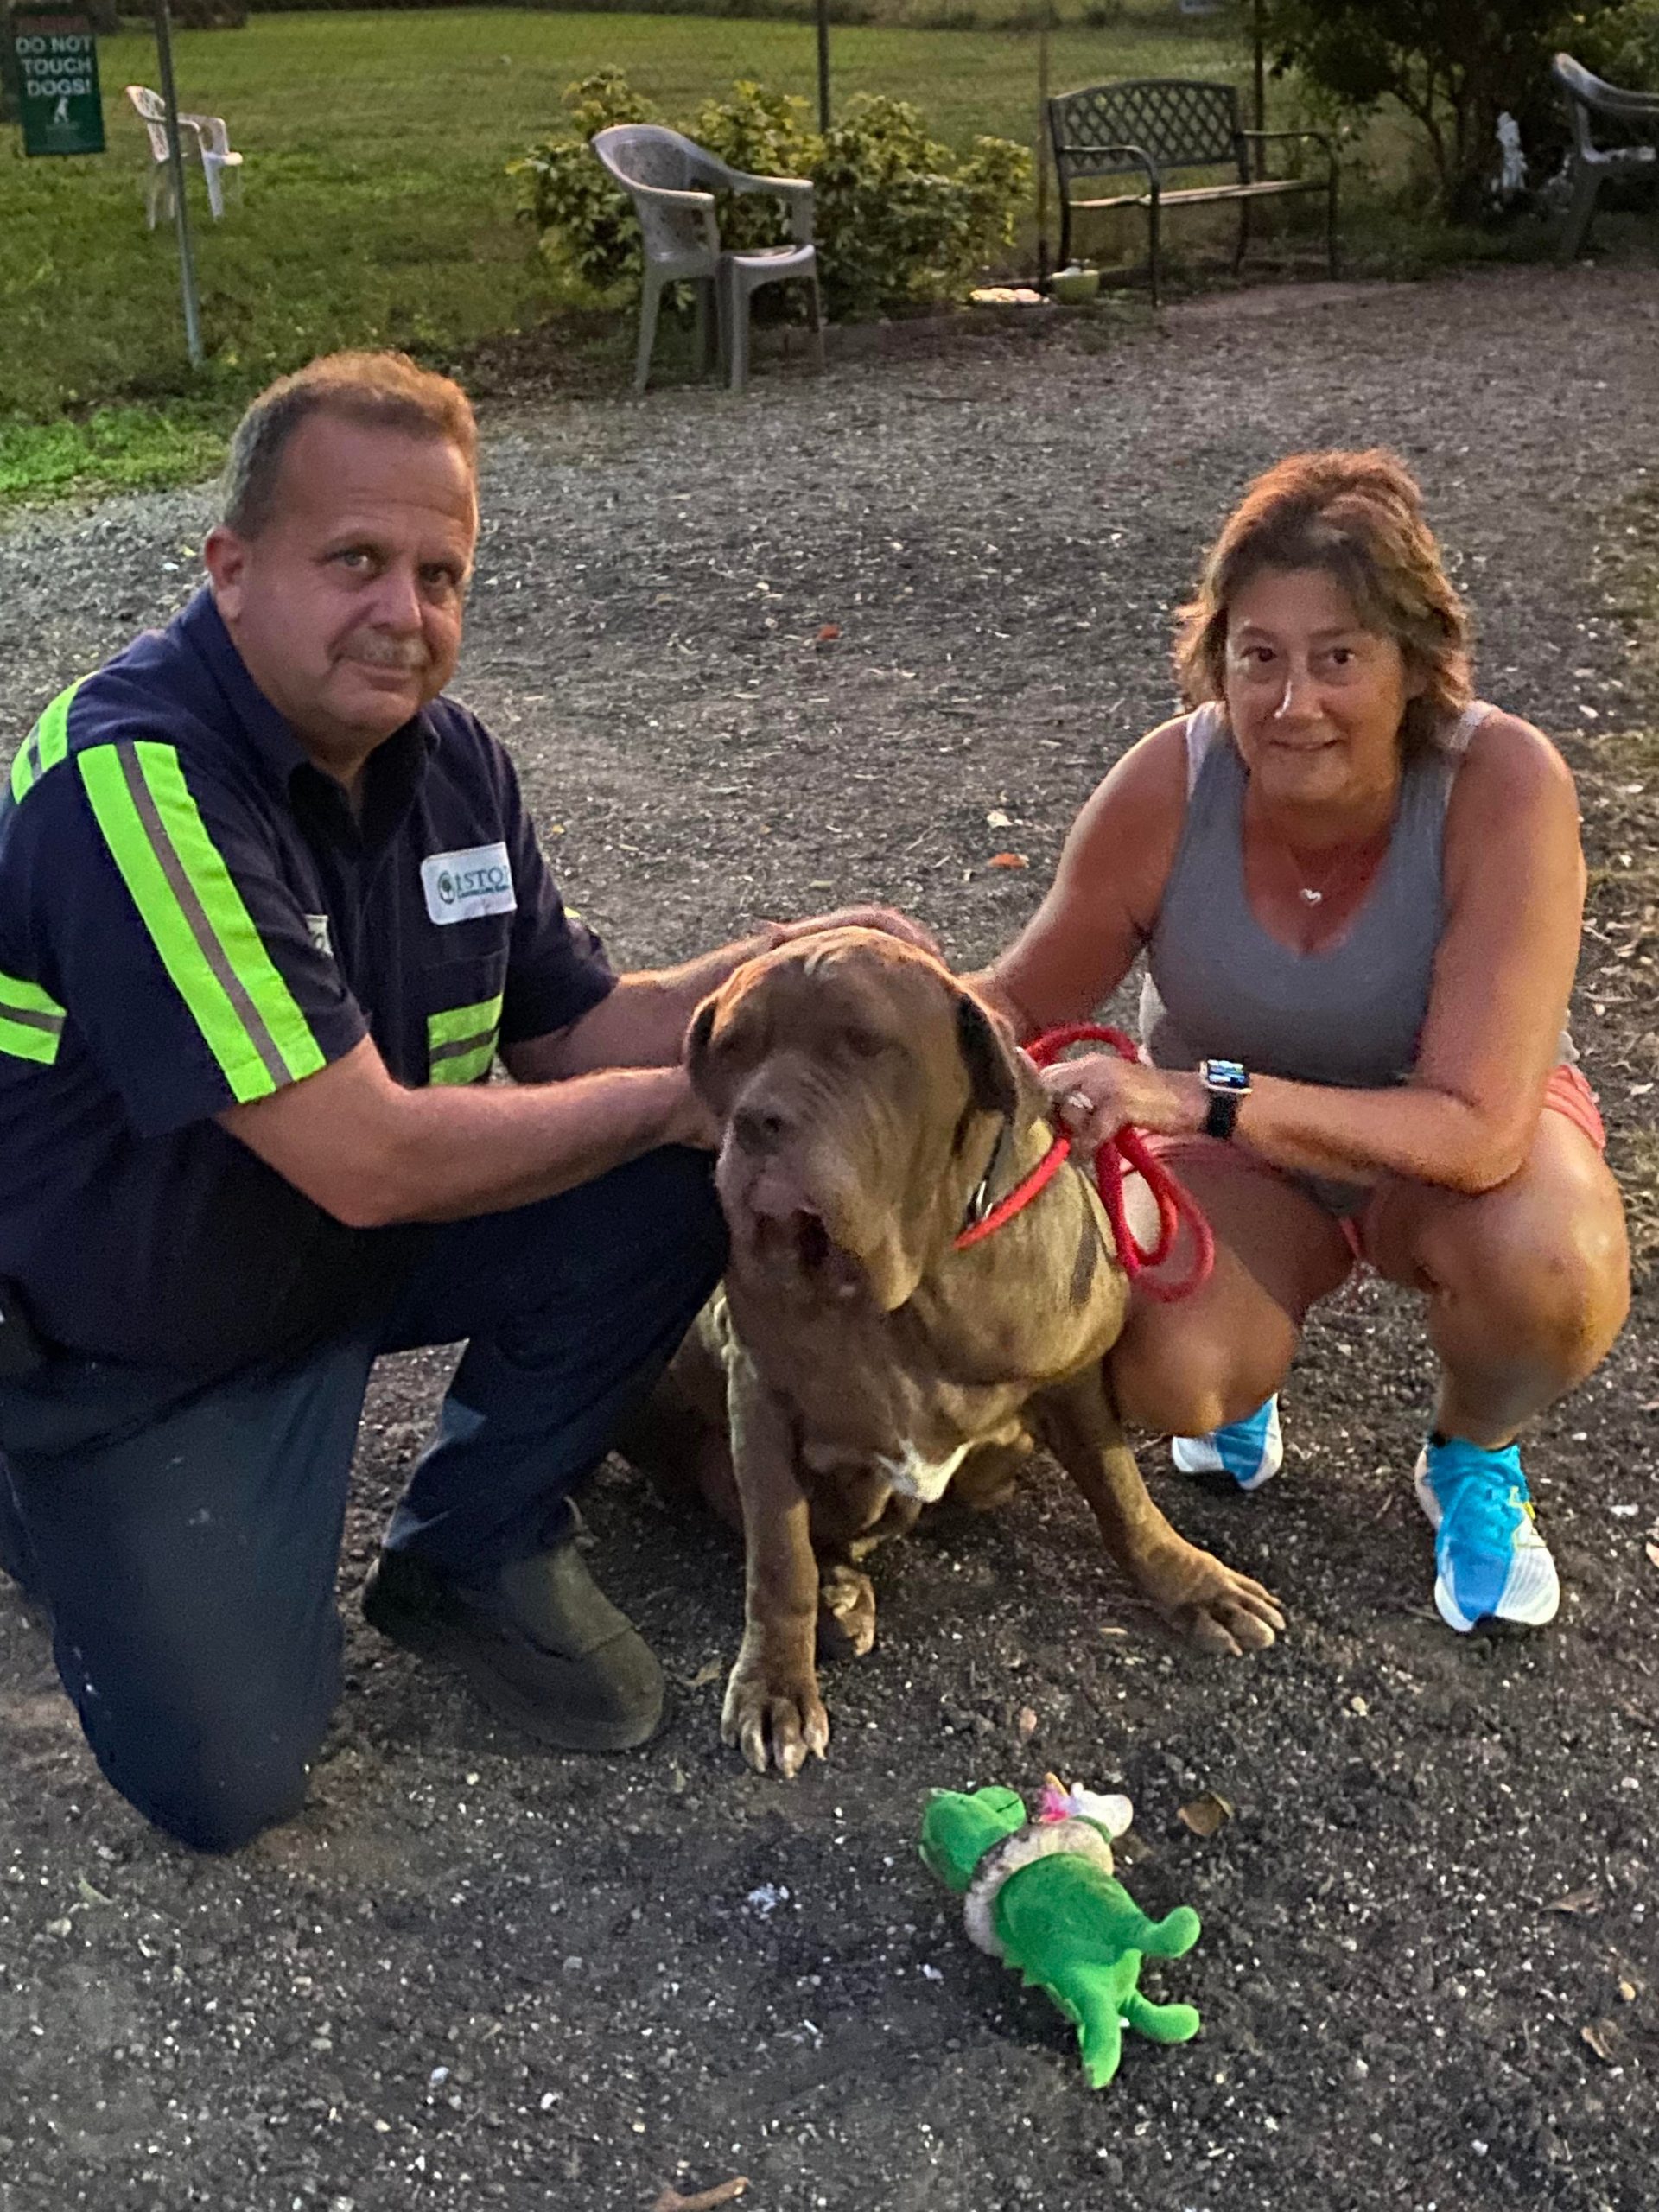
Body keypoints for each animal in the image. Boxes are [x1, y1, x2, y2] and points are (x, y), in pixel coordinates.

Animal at [668, 929, 1282, 1778]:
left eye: (864, 1043)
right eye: (733, 1047)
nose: (759, 1119)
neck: (905, 1286)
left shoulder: (1073, 1375)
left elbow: (1123, 1492)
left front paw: (1191, 1584)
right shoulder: (759, 1394)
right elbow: (779, 1554)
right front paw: (775, 1685)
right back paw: (840, 1599)